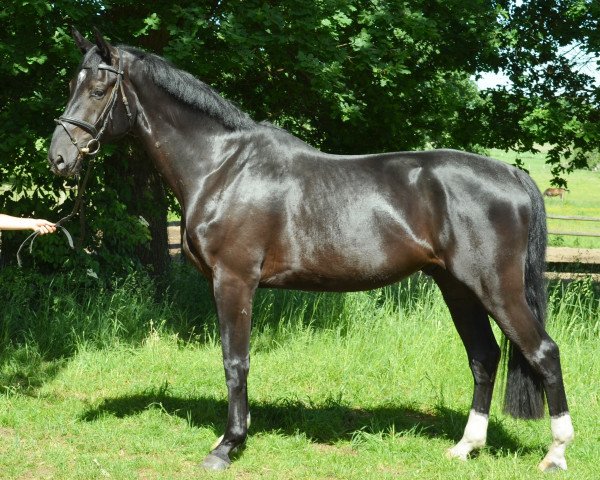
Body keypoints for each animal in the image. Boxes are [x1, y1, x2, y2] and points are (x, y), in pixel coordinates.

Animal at [47, 30, 572, 472]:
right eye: (73, 83)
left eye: (98, 89)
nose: (59, 158)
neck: (222, 167)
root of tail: (511, 174)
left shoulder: (234, 280)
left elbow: (235, 361)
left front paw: (227, 445)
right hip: (457, 287)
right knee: (484, 357)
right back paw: (466, 447)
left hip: (496, 288)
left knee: (543, 352)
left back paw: (556, 453)